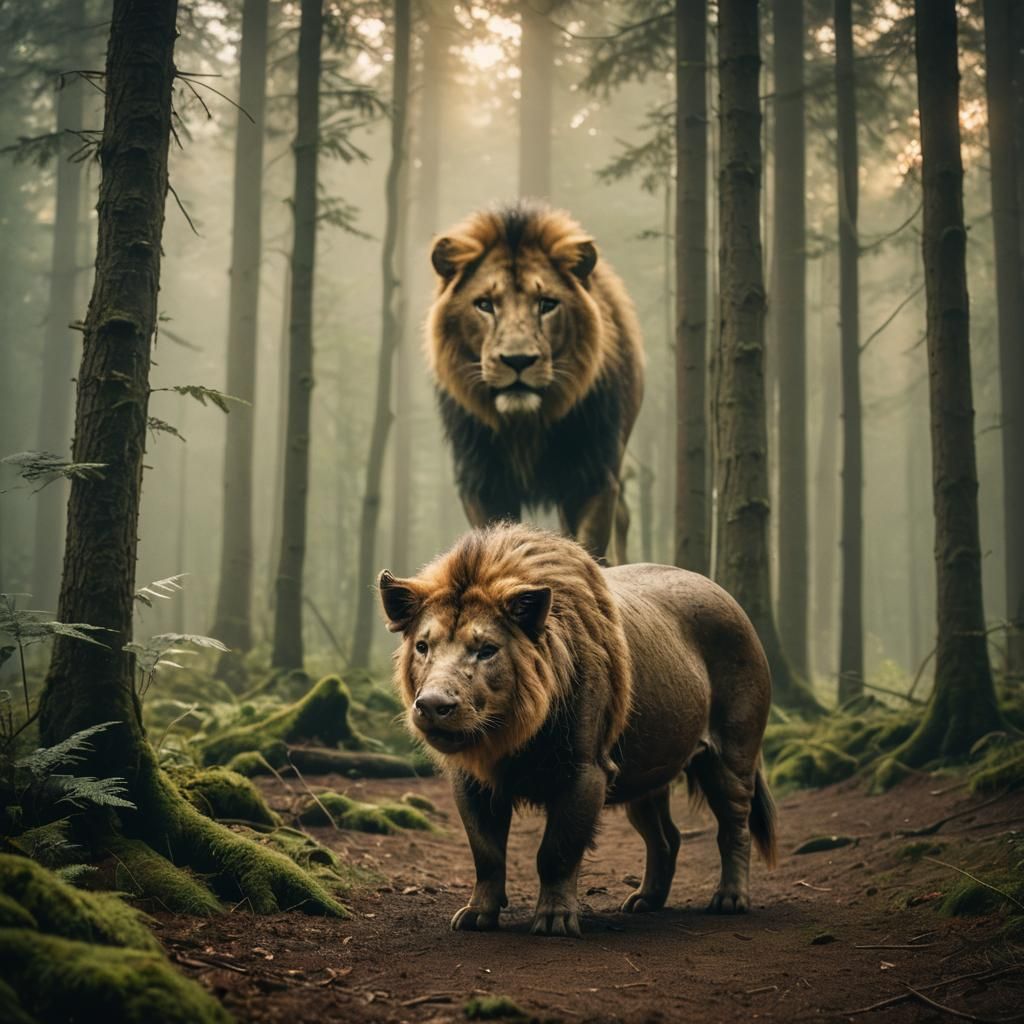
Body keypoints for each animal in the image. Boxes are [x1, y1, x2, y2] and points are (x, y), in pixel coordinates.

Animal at [377, 524, 777, 938]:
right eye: (423, 646)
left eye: (486, 649)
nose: (432, 705)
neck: (510, 732)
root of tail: (731, 601)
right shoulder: (471, 779)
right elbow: (486, 852)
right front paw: (476, 915)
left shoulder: (585, 770)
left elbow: (557, 851)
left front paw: (554, 920)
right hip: (646, 774)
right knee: (666, 837)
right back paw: (644, 901)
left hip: (731, 755)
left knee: (734, 826)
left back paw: (730, 900)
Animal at [425, 201, 644, 561]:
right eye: (485, 304)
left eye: (547, 304)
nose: (518, 360)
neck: (525, 427)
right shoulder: (483, 483)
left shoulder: (594, 477)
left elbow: (588, 544)